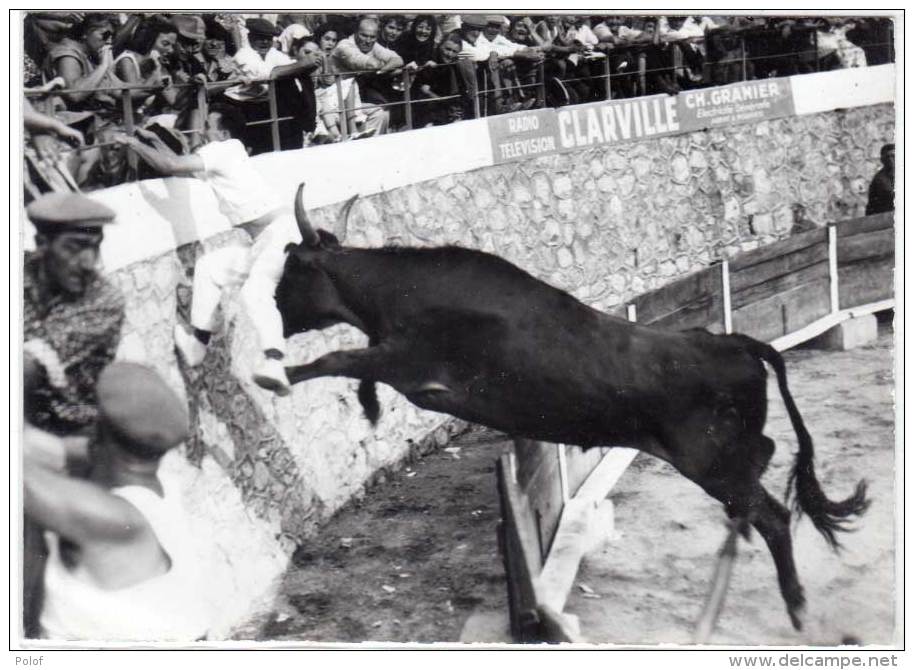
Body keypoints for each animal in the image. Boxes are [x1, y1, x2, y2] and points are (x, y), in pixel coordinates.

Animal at [274, 185, 864, 636]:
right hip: (730, 454)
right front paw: (365, 405)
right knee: (766, 462)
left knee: (775, 516)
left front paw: (275, 377)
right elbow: (355, 364)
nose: (276, 313)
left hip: (709, 462)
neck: (404, 289)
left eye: (289, 270)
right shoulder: (399, 363)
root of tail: (734, 342)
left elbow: (337, 358)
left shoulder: (415, 367)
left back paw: (795, 605)